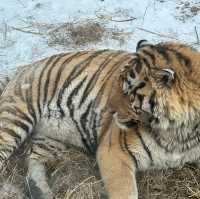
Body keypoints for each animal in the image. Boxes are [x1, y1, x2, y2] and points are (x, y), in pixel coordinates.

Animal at [0, 39, 199, 199]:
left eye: (128, 91)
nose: (109, 109)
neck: (178, 132)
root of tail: (24, 67)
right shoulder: (113, 151)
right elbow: (125, 192)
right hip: (15, 117)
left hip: (50, 139)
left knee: (34, 163)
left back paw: (41, 192)